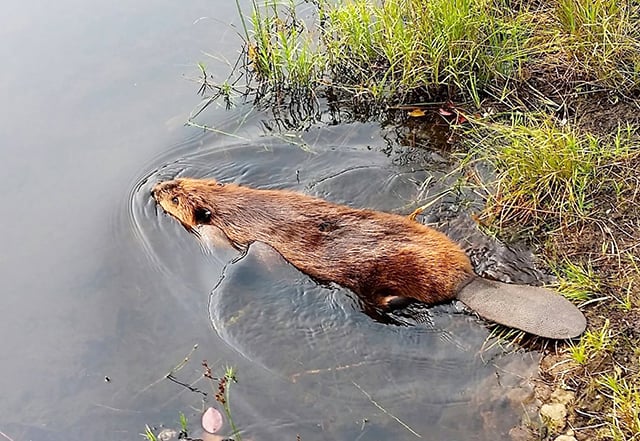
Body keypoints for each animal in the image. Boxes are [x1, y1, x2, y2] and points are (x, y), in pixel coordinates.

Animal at [152, 177, 588, 338]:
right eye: (176, 183)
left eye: (174, 196)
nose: (155, 188)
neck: (232, 204)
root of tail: (468, 282)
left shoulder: (227, 235)